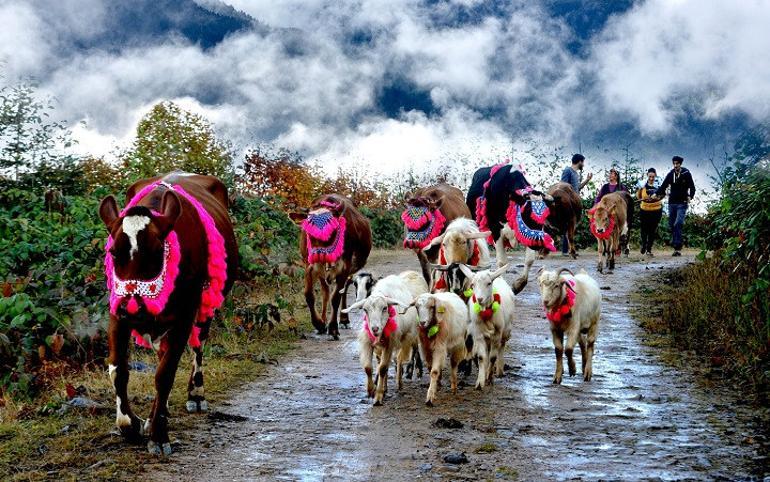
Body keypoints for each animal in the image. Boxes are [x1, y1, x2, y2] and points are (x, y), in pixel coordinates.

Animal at [99, 173, 237, 456]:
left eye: (156, 251)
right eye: (113, 252)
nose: (133, 307)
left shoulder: (184, 315)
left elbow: (165, 375)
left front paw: (159, 436)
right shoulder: (117, 312)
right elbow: (118, 369)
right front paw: (131, 425)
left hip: (206, 305)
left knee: (198, 346)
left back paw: (195, 395)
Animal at [298, 192, 370, 338]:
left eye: (332, 228)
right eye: (308, 229)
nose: (318, 255)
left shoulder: (345, 267)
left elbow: (336, 297)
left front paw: (333, 328)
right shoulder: (309, 266)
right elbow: (309, 295)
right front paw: (319, 324)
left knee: (344, 290)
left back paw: (344, 320)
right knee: (326, 291)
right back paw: (323, 319)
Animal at [342, 274, 426, 404]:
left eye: (385, 308)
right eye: (365, 310)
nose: (375, 329)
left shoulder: (389, 344)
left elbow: (382, 368)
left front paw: (378, 396)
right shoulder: (368, 342)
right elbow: (368, 368)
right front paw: (371, 390)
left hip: (406, 337)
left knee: (399, 359)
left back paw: (399, 383)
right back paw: (386, 387)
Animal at [460, 262, 512, 390]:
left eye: (489, 283)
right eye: (472, 284)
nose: (479, 299)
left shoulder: (497, 333)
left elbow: (493, 357)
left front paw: (489, 378)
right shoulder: (478, 334)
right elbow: (481, 357)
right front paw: (480, 382)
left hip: (505, 331)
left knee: (501, 346)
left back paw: (499, 370)